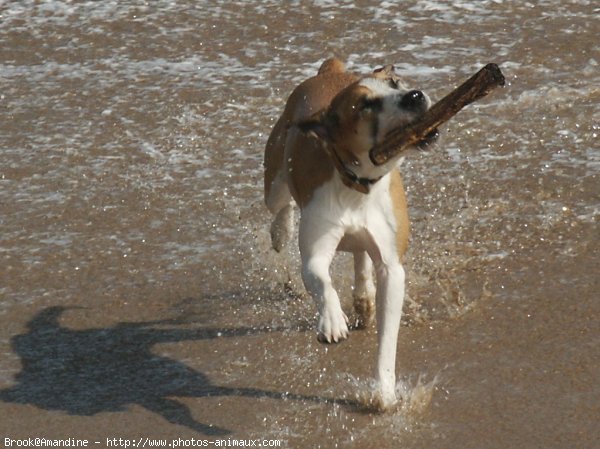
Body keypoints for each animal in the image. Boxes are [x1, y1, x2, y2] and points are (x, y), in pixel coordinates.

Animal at [264, 57, 434, 410]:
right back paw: (280, 230)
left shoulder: (392, 268)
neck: (358, 186)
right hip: (273, 178)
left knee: (360, 252)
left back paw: (364, 297)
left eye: (396, 83)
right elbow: (320, 278)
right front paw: (332, 320)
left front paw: (384, 392)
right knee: (280, 203)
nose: (414, 96)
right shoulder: (315, 251)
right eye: (365, 105)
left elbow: (388, 337)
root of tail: (330, 71)